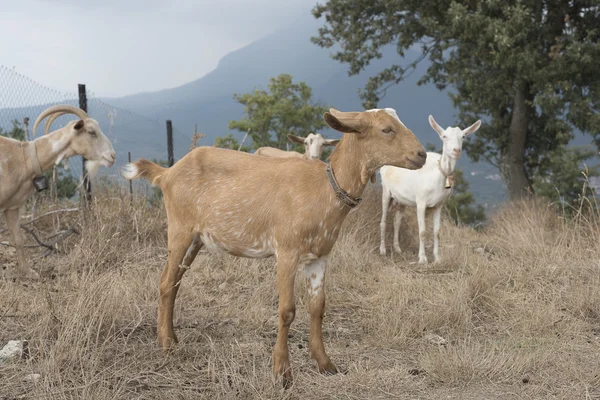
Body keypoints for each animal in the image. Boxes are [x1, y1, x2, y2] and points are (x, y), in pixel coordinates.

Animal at [0, 104, 116, 280]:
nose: (112, 156)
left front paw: (28, 272)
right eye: (91, 131)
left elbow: (18, 239)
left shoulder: (12, 207)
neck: (24, 157)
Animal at [122, 107, 426, 388]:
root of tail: (167, 173)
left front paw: (325, 364)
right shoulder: (287, 250)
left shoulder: (320, 255)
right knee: (165, 281)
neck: (323, 190)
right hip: (179, 228)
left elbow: (318, 306)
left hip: (196, 238)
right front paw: (282, 372)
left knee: (174, 282)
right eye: (386, 129)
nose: (422, 154)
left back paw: (172, 337)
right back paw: (165, 344)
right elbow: (287, 310)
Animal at [380, 114, 482, 264]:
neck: (438, 176)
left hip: (402, 199)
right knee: (383, 221)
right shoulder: (421, 202)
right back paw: (382, 250)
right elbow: (422, 231)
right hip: (386, 191)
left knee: (397, 221)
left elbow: (437, 232)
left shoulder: (439, 205)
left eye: (463, 136)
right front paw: (422, 259)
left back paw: (398, 249)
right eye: (444, 136)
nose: (456, 150)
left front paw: (437, 258)